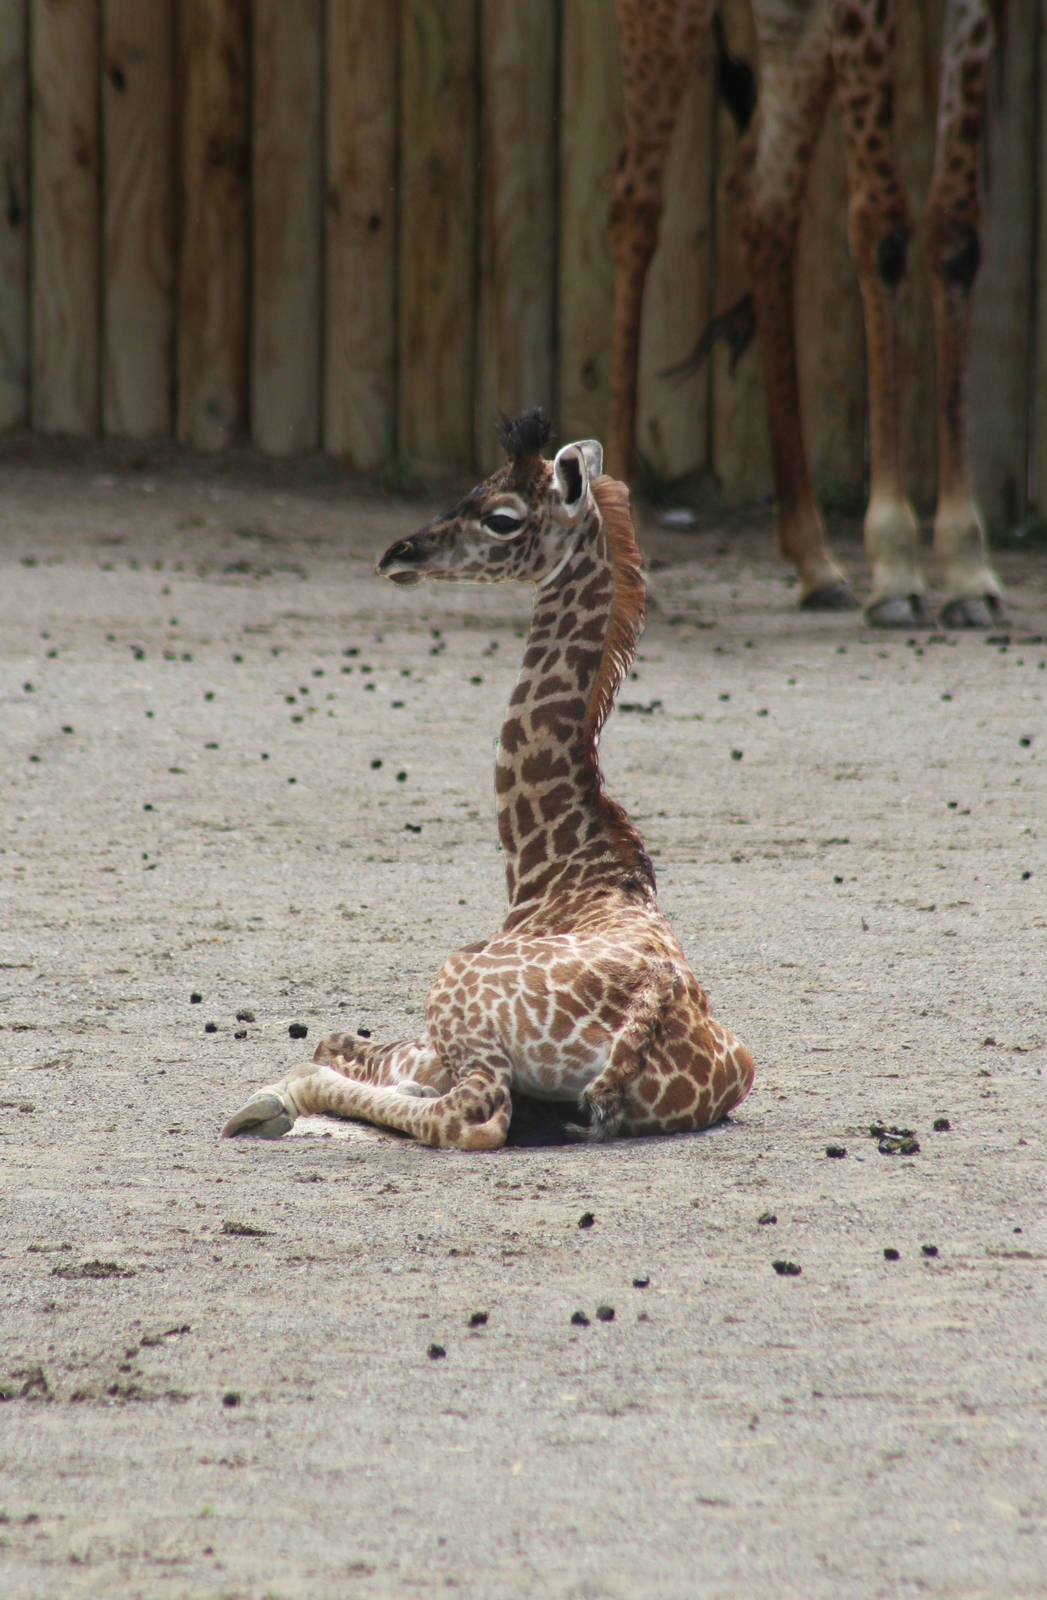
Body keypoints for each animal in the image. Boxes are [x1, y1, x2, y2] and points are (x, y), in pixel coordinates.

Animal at [222, 411, 754, 1151]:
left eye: (501, 517)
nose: (398, 553)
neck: (557, 868)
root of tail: (647, 1009)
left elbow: (339, 1043)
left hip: (455, 987)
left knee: (473, 1115)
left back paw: (271, 1104)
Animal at [608, 0, 1004, 627]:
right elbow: (881, 227)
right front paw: (895, 563)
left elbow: (956, 229)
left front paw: (967, 565)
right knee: (634, 199)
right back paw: (624, 542)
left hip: (792, 18)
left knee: (761, 195)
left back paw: (814, 556)